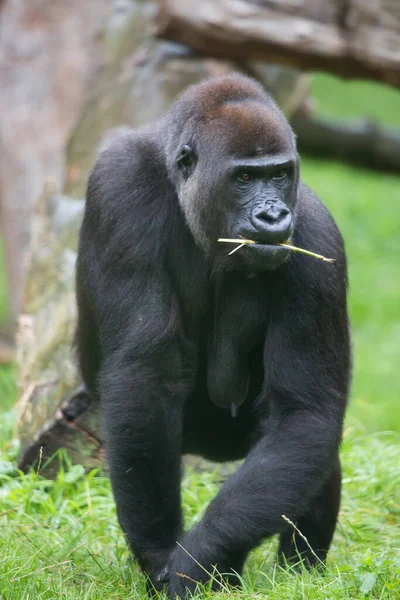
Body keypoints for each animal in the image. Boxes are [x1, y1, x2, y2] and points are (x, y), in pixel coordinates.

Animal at [75, 72, 350, 596]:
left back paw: (298, 574)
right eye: (243, 178)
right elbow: (145, 372)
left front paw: (198, 558)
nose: (273, 217)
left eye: (279, 174)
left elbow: (305, 413)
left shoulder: (317, 236)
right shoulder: (120, 185)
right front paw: (160, 553)